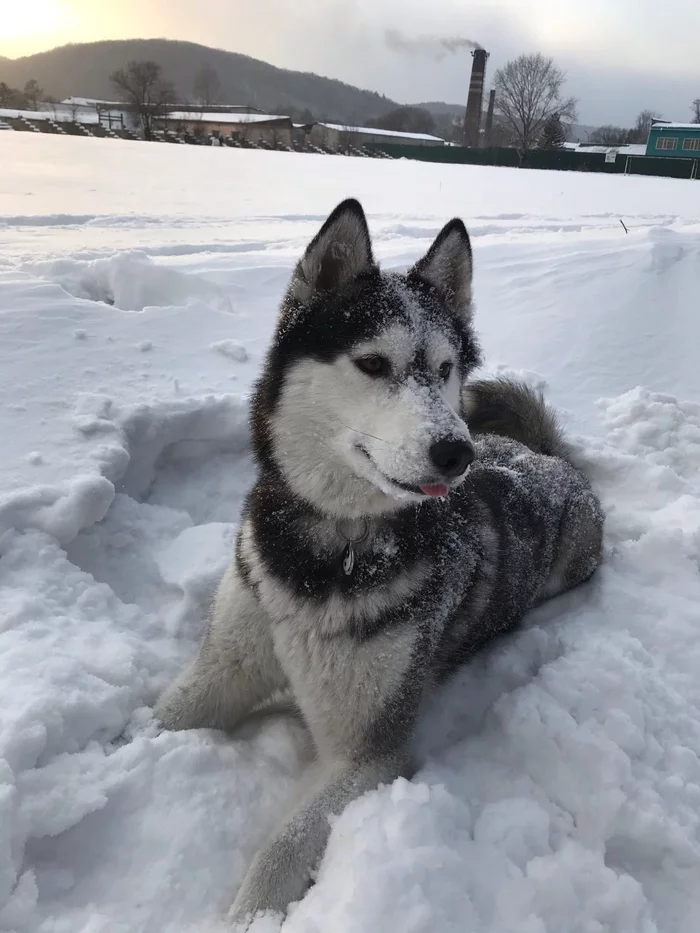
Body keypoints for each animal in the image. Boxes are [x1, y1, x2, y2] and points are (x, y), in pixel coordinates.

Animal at [156, 198, 604, 924]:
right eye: (371, 363)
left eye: (445, 368)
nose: (456, 452)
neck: (323, 553)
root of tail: (548, 456)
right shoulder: (223, 665)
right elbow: (160, 721)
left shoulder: (368, 752)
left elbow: (283, 848)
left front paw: (249, 915)